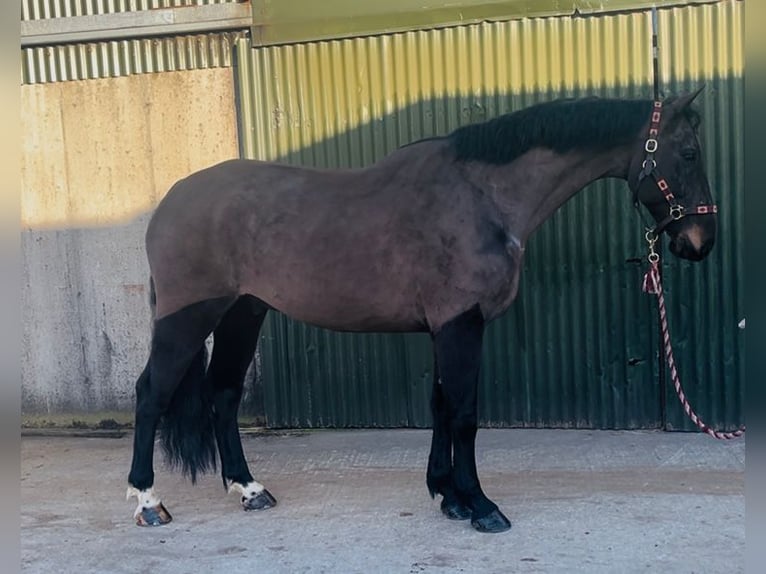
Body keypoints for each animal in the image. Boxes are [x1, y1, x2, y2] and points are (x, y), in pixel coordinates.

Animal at [126, 88, 717, 533]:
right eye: (689, 152)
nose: (700, 241)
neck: (484, 196)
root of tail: (171, 201)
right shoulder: (461, 325)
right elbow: (463, 414)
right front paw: (481, 506)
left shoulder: (443, 328)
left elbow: (439, 407)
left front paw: (447, 496)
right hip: (189, 317)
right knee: (152, 392)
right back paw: (149, 502)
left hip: (243, 313)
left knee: (224, 394)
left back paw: (250, 490)